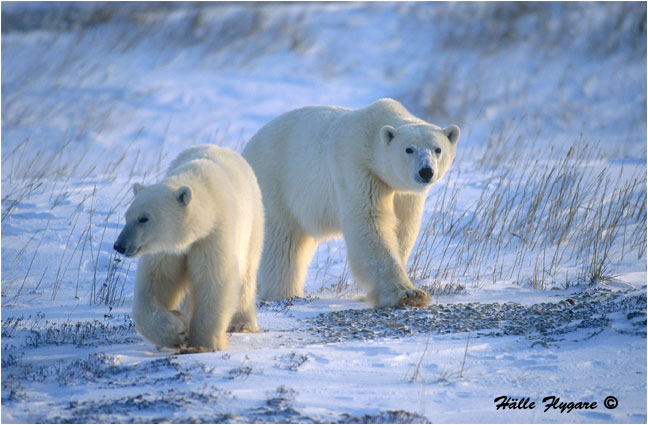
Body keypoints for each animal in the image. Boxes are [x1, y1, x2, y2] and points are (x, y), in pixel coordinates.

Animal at [113, 144, 264, 351]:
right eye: (127, 216)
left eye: (144, 218)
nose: (119, 245)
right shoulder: (168, 250)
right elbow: (157, 282)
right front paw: (176, 332)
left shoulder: (213, 235)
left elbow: (214, 282)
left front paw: (202, 344)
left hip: (252, 225)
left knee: (247, 273)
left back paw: (243, 324)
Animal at [243, 98, 459, 308]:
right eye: (409, 149)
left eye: (438, 149)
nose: (426, 171)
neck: (372, 136)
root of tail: (248, 147)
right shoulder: (357, 169)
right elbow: (370, 222)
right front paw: (407, 294)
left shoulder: (404, 192)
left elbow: (403, 229)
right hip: (276, 182)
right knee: (281, 242)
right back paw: (282, 294)